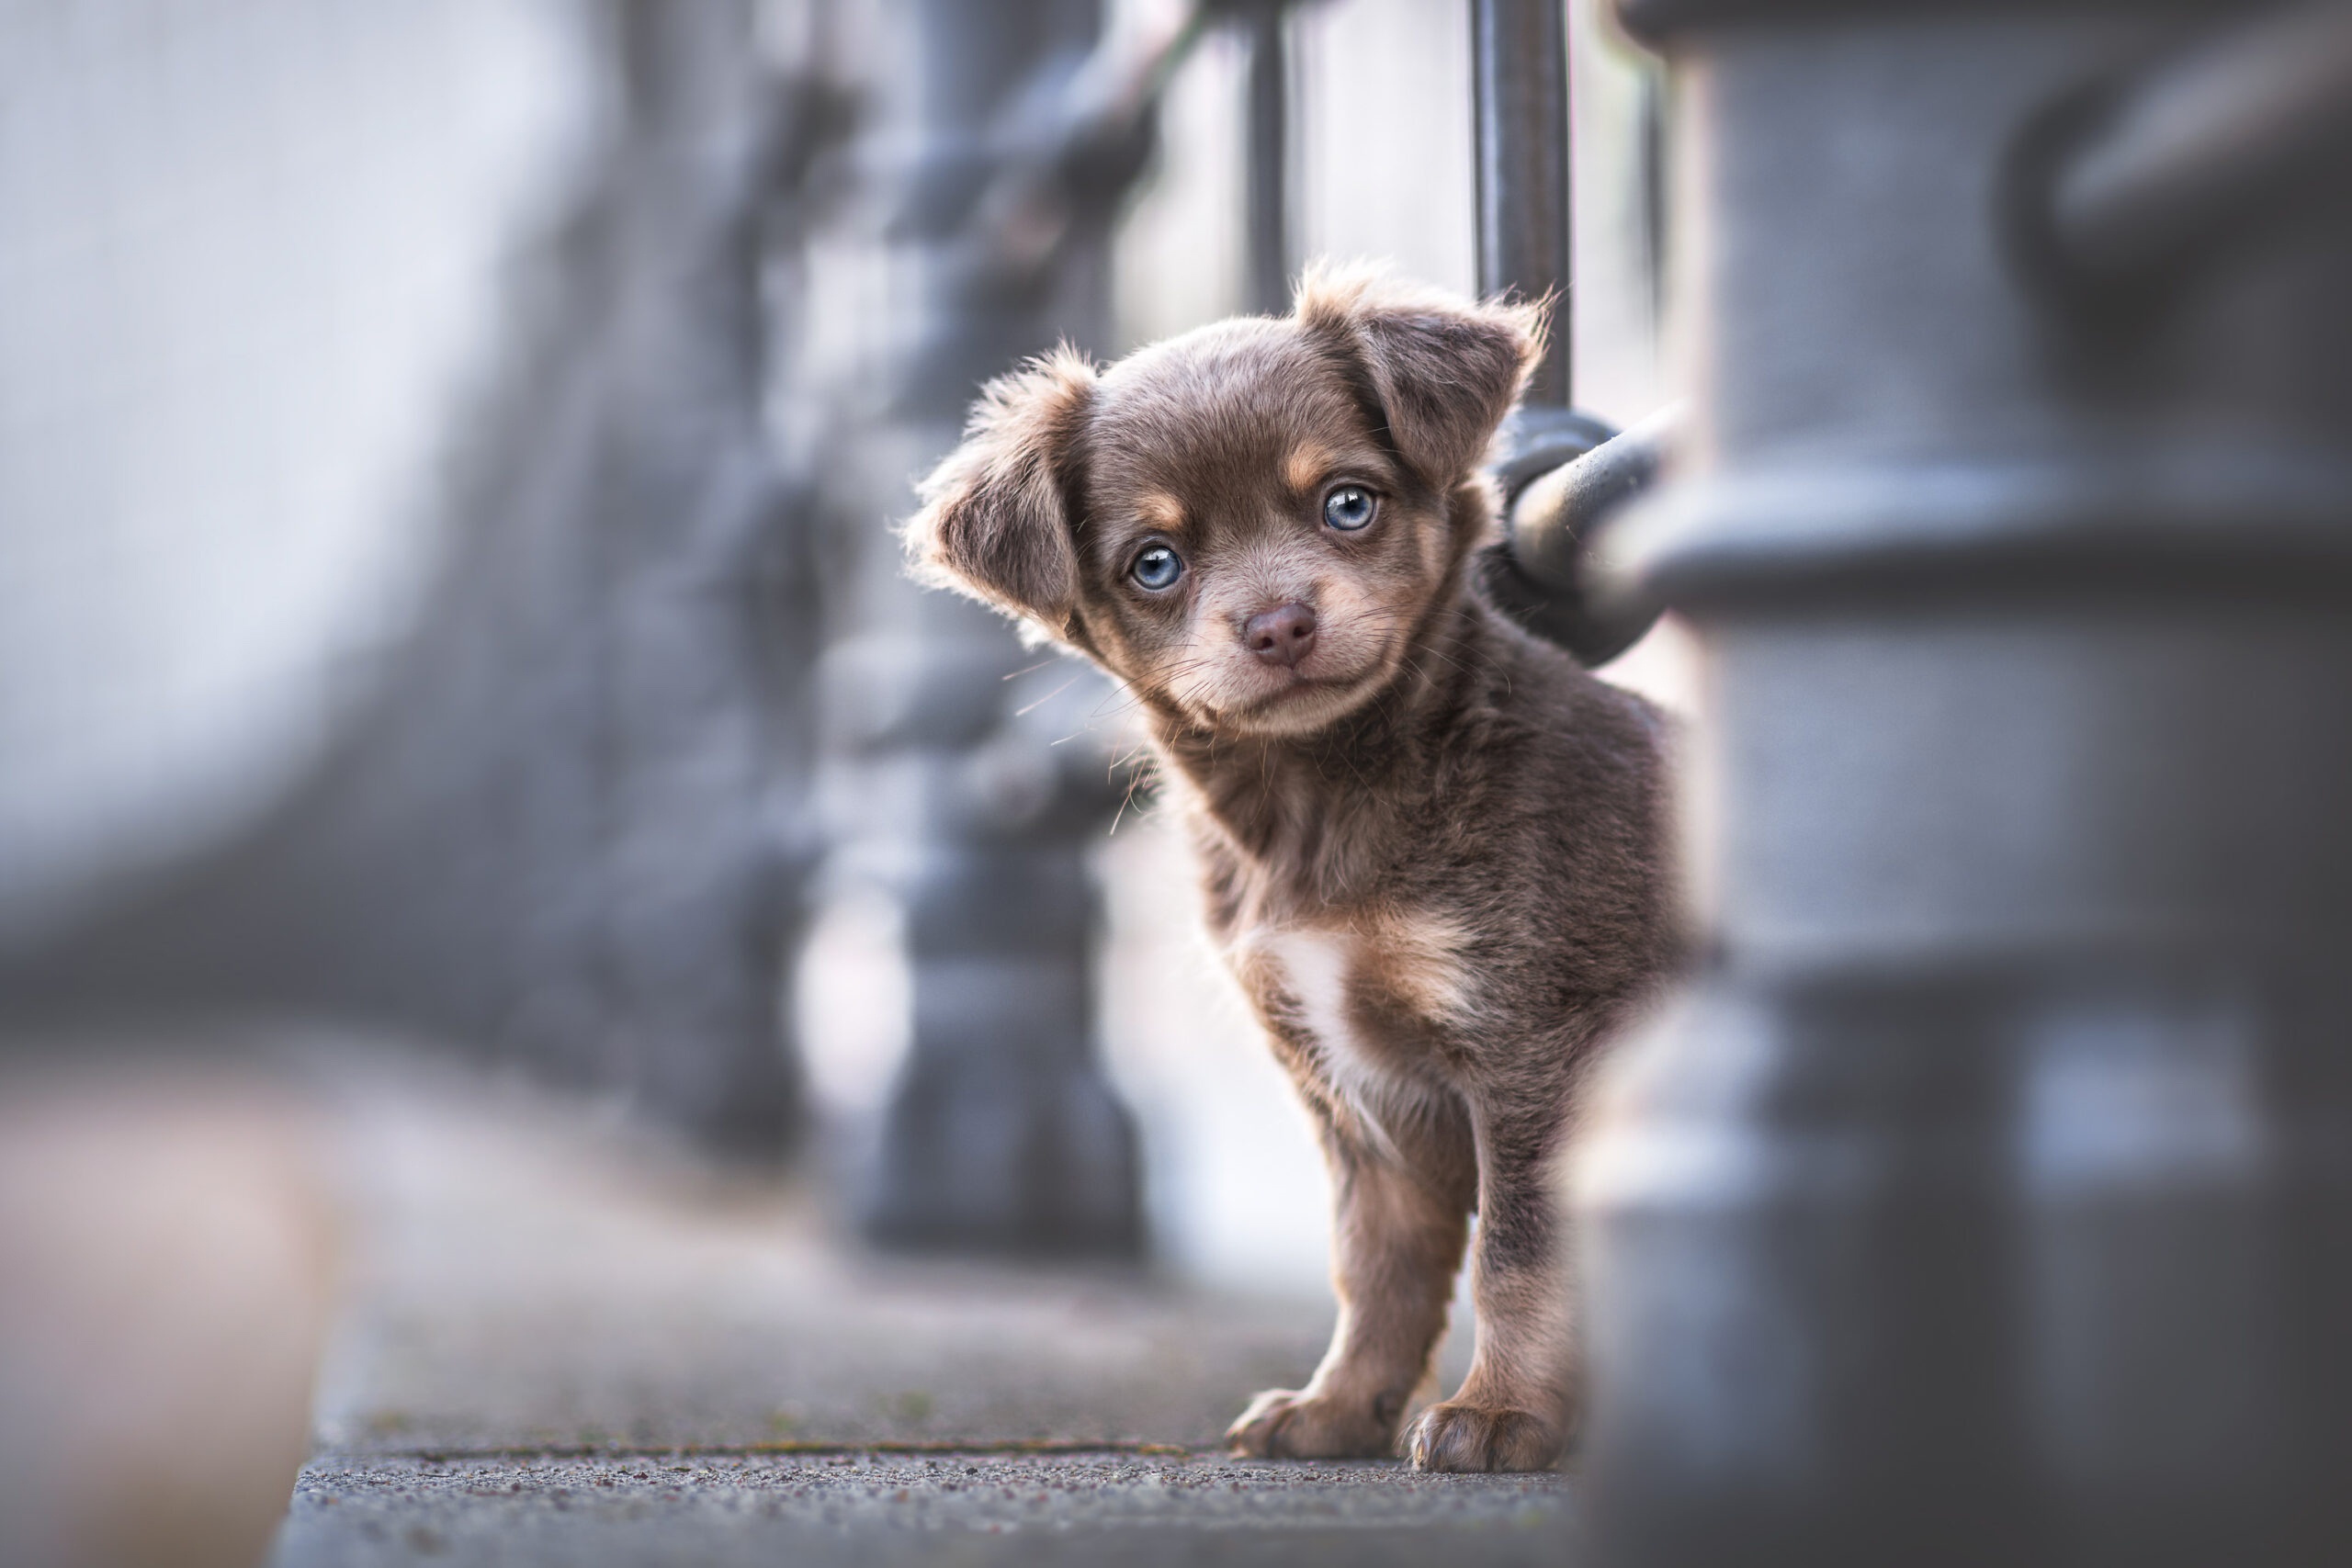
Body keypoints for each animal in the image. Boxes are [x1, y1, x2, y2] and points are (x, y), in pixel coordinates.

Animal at [898, 266, 1674, 1476]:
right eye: (1154, 564)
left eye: (1348, 504)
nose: (1278, 625)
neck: (1316, 804)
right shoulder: (1351, 1095)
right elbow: (1376, 1267)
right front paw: (1341, 1407)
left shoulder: (1534, 1055)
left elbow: (1519, 1256)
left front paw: (1501, 1414)